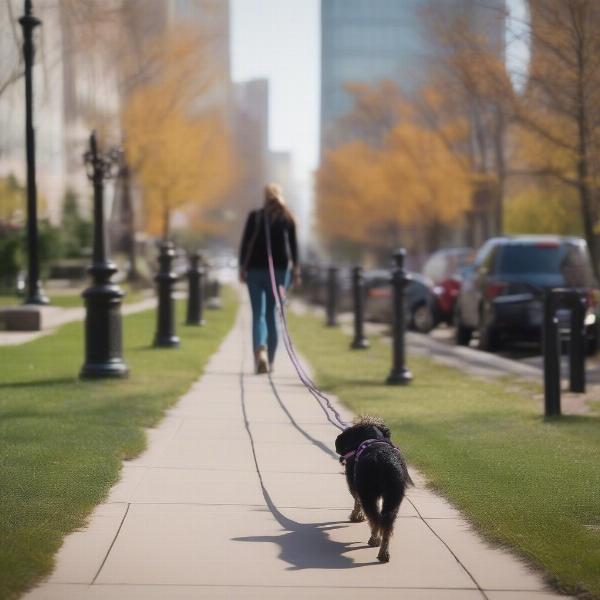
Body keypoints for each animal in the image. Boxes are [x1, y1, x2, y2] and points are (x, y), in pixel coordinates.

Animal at [332, 418, 412, 564]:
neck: (374, 436)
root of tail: (384, 460)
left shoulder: (354, 485)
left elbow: (357, 503)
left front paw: (356, 517)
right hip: (393, 499)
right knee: (386, 525)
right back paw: (383, 553)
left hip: (368, 495)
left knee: (374, 520)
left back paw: (374, 540)